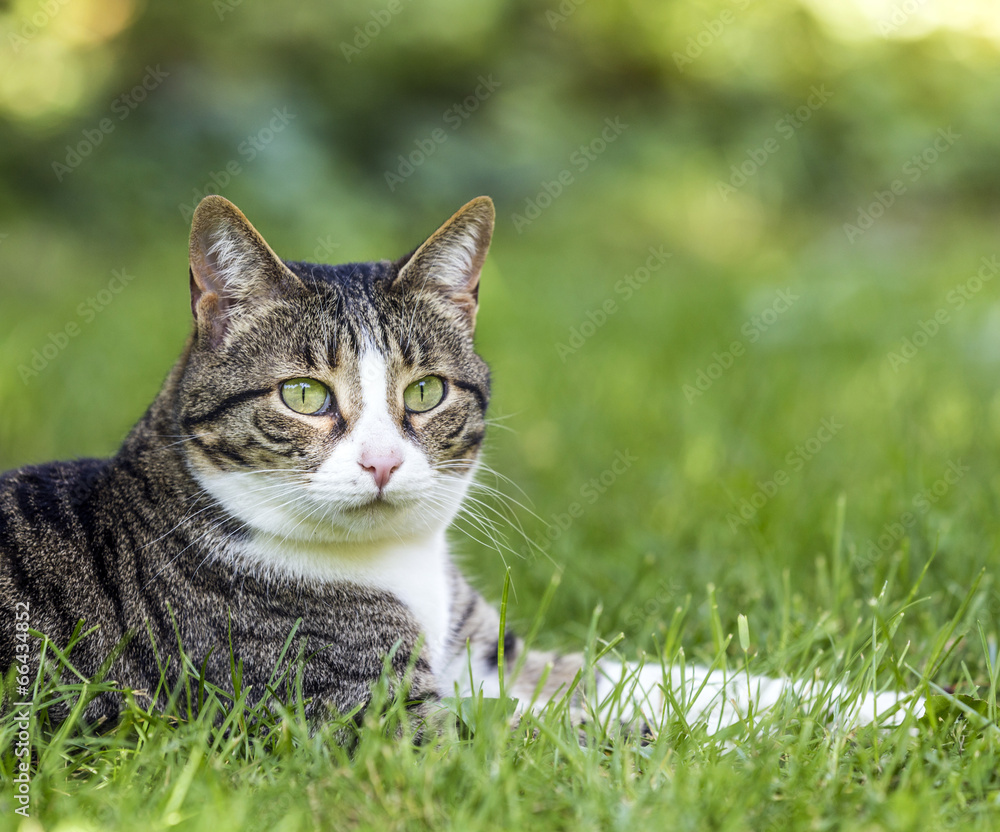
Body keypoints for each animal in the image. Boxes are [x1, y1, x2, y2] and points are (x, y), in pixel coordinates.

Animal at [0, 195, 920, 736]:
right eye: (303, 394)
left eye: (426, 390)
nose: (380, 461)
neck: (397, 565)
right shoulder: (375, 721)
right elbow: (617, 738)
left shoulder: (484, 656)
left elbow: (674, 682)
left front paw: (898, 706)